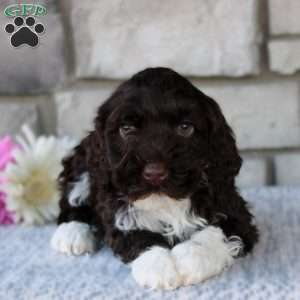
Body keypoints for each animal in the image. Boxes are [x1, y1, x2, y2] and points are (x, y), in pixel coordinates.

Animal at [51, 67, 258, 288]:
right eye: (127, 129)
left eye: (185, 128)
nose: (154, 173)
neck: (165, 201)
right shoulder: (116, 212)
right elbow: (137, 237)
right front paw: (158, 267)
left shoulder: (234, 209)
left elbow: (217, 231)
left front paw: (189, 258)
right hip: (82, 163)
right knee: (72, 199)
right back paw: (71, 233)